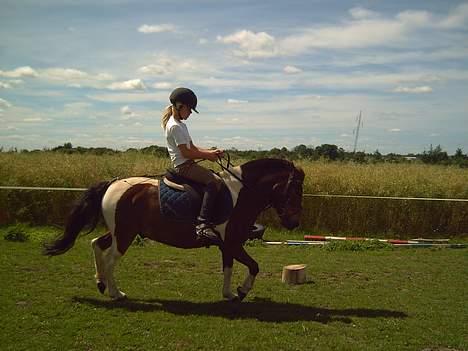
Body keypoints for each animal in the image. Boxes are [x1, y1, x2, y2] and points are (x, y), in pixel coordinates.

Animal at [44, 157, 306, 302]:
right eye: (294, 190)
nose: (294, 222)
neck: (240, 193)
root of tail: (113, 183)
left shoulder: (227, 245)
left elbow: (229, 269)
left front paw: (229, 294)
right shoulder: (233, 243)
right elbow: (254, 266)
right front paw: (242, 291)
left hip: (121, 232)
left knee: (96, 244)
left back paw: (100, 283)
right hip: (125, 235)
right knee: (109, 260)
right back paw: (116, 293)